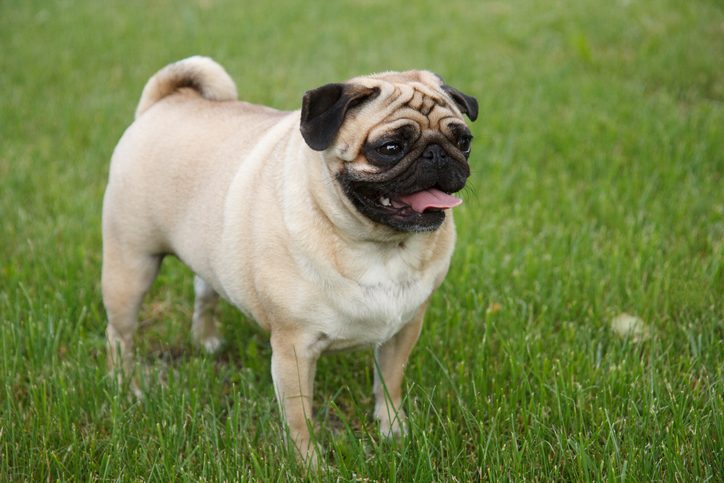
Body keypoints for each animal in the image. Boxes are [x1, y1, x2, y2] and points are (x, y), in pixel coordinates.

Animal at [100, 54, 476, 464]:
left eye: (464, 141)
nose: (438, 153)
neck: (380, 245)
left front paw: (394, 431)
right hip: (130, 266)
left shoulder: (403, 330)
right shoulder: (294, 348)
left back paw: (207, 340)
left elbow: (389, 385)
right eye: (390, 147)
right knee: (120, 334)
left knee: (205, 292)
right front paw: (309, 464)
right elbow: (300, 417)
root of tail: (164, 101)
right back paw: (127, 387)